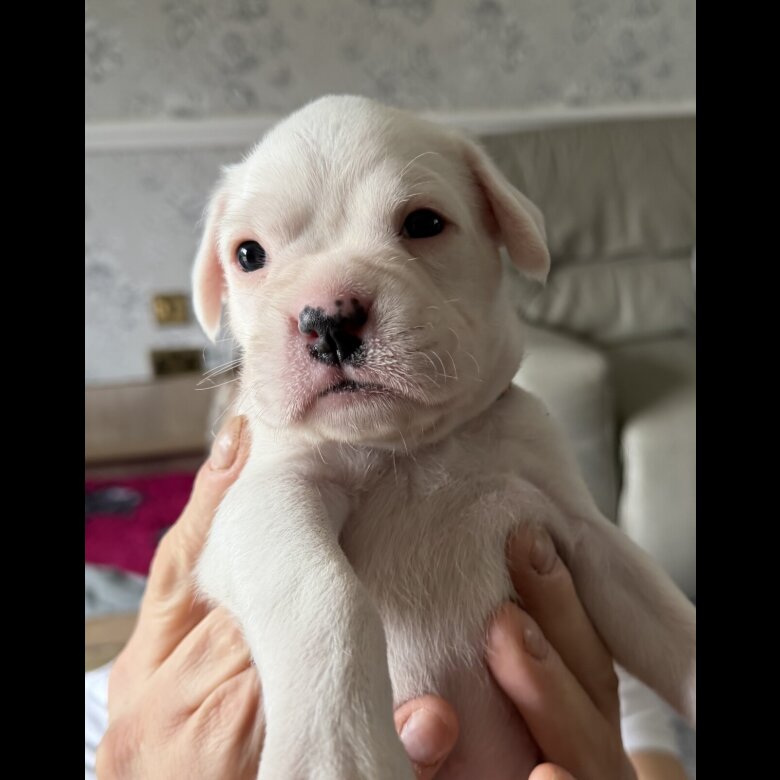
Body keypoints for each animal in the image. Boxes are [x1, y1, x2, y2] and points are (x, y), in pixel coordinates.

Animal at [192, 95, 696, 779]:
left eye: (424, 223)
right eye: (248, 255)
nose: (328, 317)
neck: (414, 449)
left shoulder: (579, 526)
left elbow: (660, 610)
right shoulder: (262, 501)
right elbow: (325, 596)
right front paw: (334, 754)